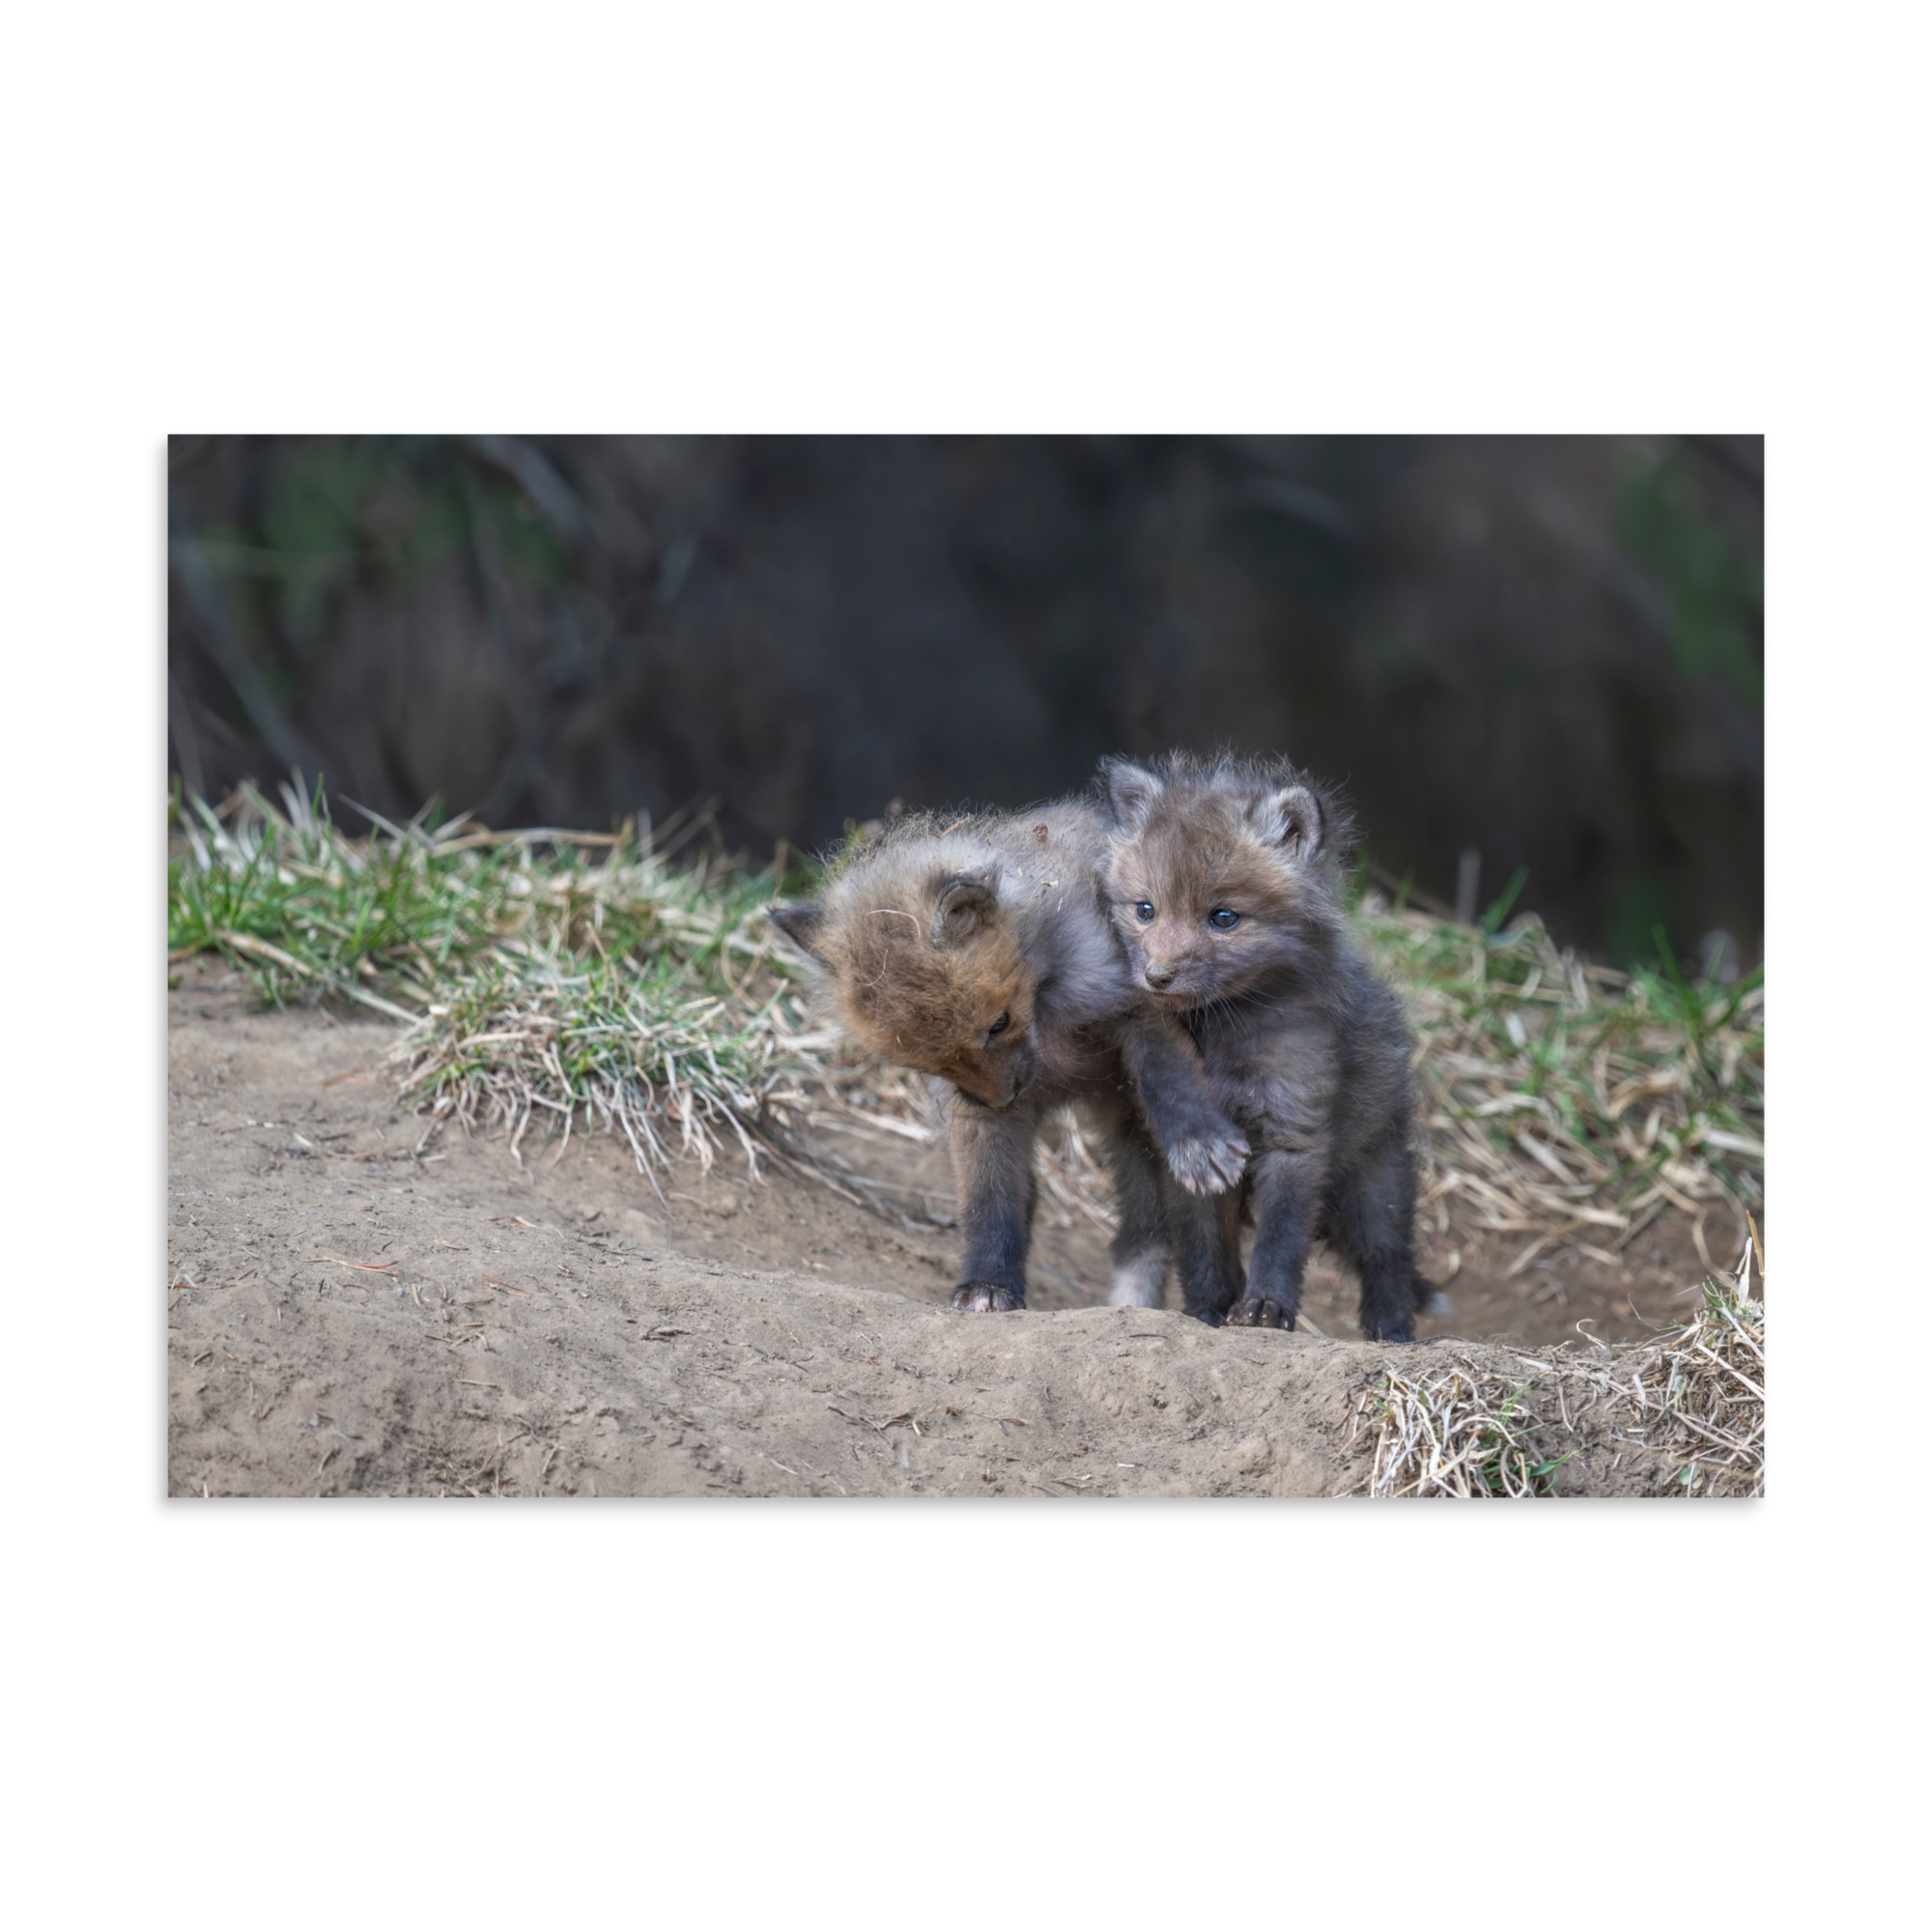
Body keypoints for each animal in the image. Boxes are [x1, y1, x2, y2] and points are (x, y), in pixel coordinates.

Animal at [768, 801, 1250, 1314]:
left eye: (998, 1024)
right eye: (927, 1063)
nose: (1003, 1100)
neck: (1048, 1015)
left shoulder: (1138, 1000)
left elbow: (1168, 1077)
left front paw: (1198, 1140)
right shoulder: (972, 1111)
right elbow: (989, 1200)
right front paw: (988, 1284)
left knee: (1195, 1234)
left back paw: (1211, 1309)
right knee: (1140, 1228)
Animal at [1097, 751, 1435, 1341]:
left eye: (1223, 917)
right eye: (1145, 910)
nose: (1156, 977)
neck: (1221, 1037)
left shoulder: (1294, 1132)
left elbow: (1280, 1238)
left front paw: (1265, 1309)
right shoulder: (1190, 1155)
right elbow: (1204, 1249)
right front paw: (1207, 1312)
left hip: (1373, 1186)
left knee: (1388, 1263)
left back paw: (1392, 1336)